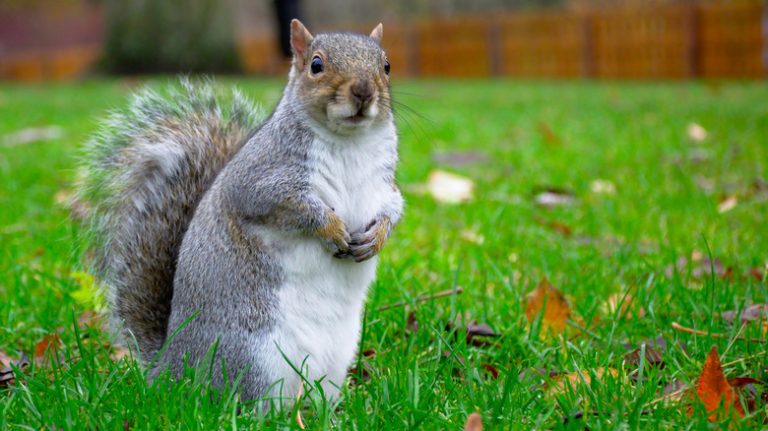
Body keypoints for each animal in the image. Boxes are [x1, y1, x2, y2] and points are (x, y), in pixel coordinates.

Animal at [77, 19, 402, 404]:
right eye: (316, 65)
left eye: (386, 66)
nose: (364, 91)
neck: (349, 142)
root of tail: (171, 367)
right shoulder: (259, 181)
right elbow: (288, 206)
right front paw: (331, 227)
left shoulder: (383, 186)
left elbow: (394, 209)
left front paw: (377, 237)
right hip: (254, 356)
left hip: (335, 359)